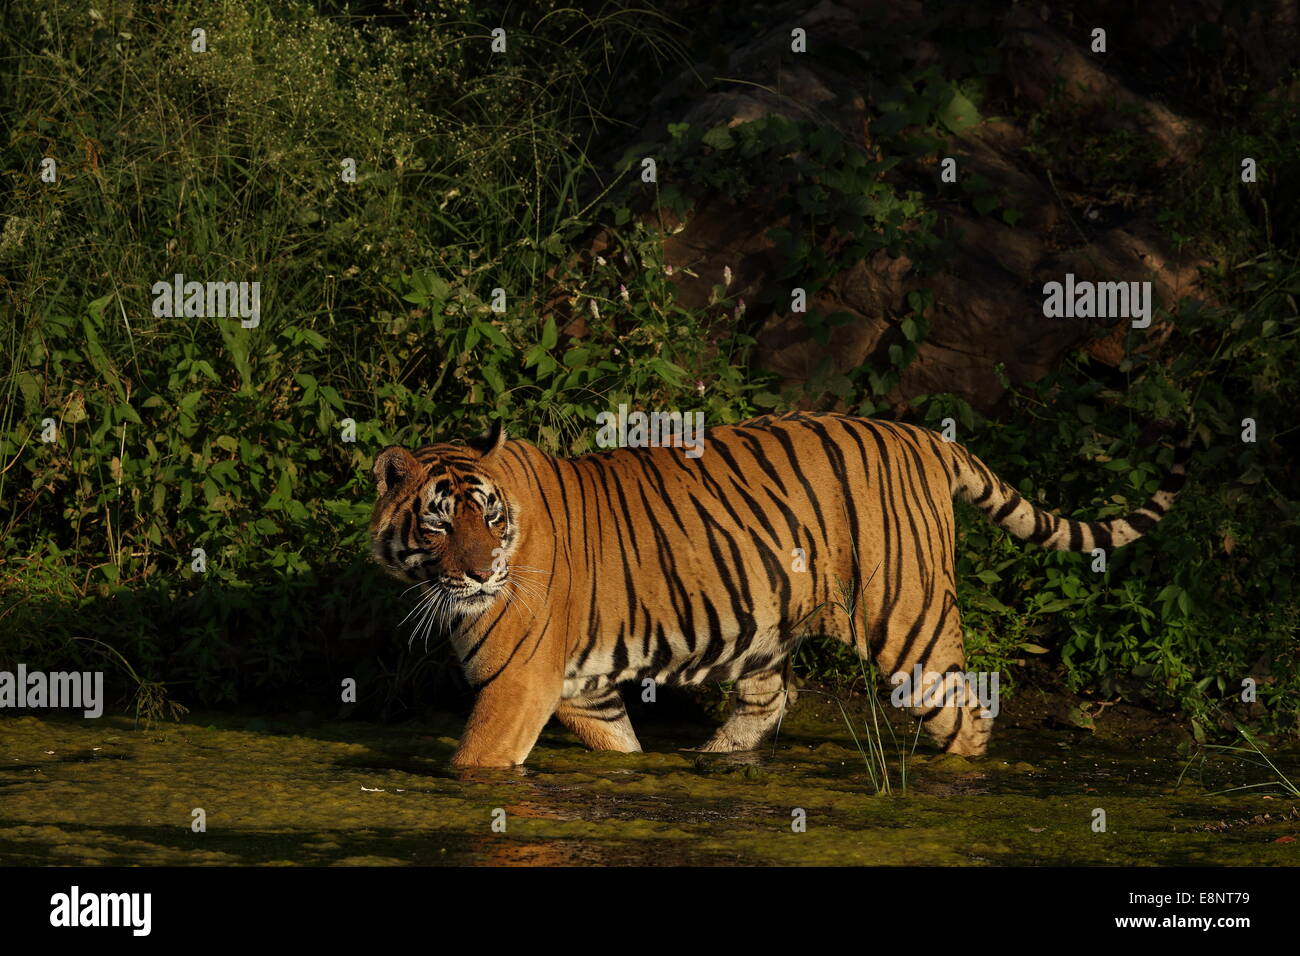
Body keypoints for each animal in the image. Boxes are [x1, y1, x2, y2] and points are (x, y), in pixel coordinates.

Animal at [366, 411, 1190, 770]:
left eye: (489, 518)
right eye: (438, 524)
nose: (480, 573)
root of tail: (926, 434)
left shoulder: (518, 684)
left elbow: (475, 761)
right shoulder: (580, 690)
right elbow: (619, 744)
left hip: (911, 626)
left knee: (969, 716)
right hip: (766, 630)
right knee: (772, 699)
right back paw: (715, 759)